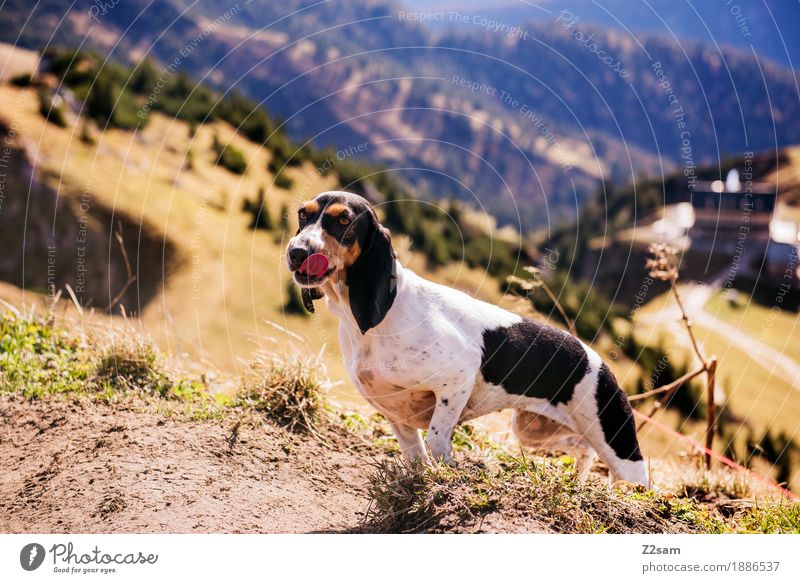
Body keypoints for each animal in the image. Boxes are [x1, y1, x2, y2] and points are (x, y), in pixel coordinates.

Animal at [284, 193, 648, 488]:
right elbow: (416, 458)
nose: (297, 252)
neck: (381, 318)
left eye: (344, 220)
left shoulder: (456, 379)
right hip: (533, 430)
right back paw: (576, 483)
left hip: (622, 451)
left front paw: (450, 472)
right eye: (303, 214)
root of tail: (601, 364)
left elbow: (437, 443)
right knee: (583, 448)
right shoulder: (395, 415)